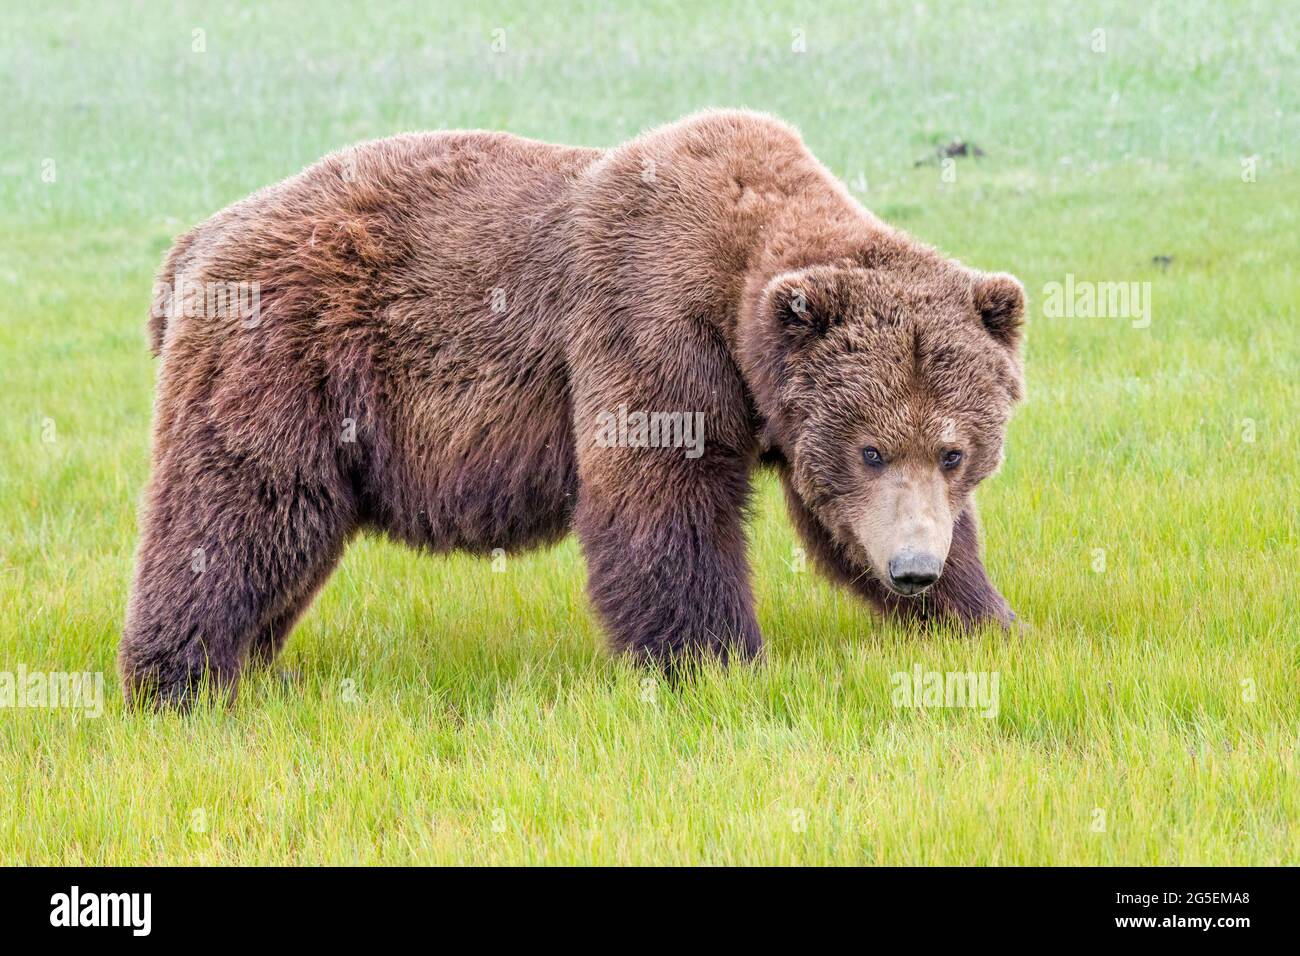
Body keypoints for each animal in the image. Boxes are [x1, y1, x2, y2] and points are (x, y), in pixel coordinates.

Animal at [122, 108, 1019, 707]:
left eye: (954, 451)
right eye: (871, 449)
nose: (913, 568)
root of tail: (197, 240)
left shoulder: (782, 410)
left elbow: (839, 522)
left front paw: (985, 618)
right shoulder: (649, 326)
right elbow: (662, 504)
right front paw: (713, 661)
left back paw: (248, 661)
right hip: (290, 355)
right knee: (241, 508)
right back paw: (177, 679)